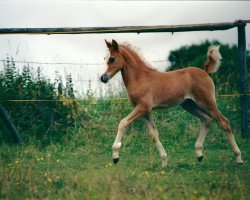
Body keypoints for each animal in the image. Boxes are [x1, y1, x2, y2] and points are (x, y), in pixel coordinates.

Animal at [99, 39, 242, 166]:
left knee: (224, 122)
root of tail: (205, 72)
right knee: (207, 119)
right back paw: (199, 154)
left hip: (207, 102)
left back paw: (238, 157)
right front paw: (164, 161)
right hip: (189, 105)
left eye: (112, 59)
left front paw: (115, 156)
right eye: (105, 58)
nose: (102, 77)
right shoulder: (144, 111)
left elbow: (122, 123)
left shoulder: (142, 107)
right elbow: (154, 134)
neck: (140, 78)